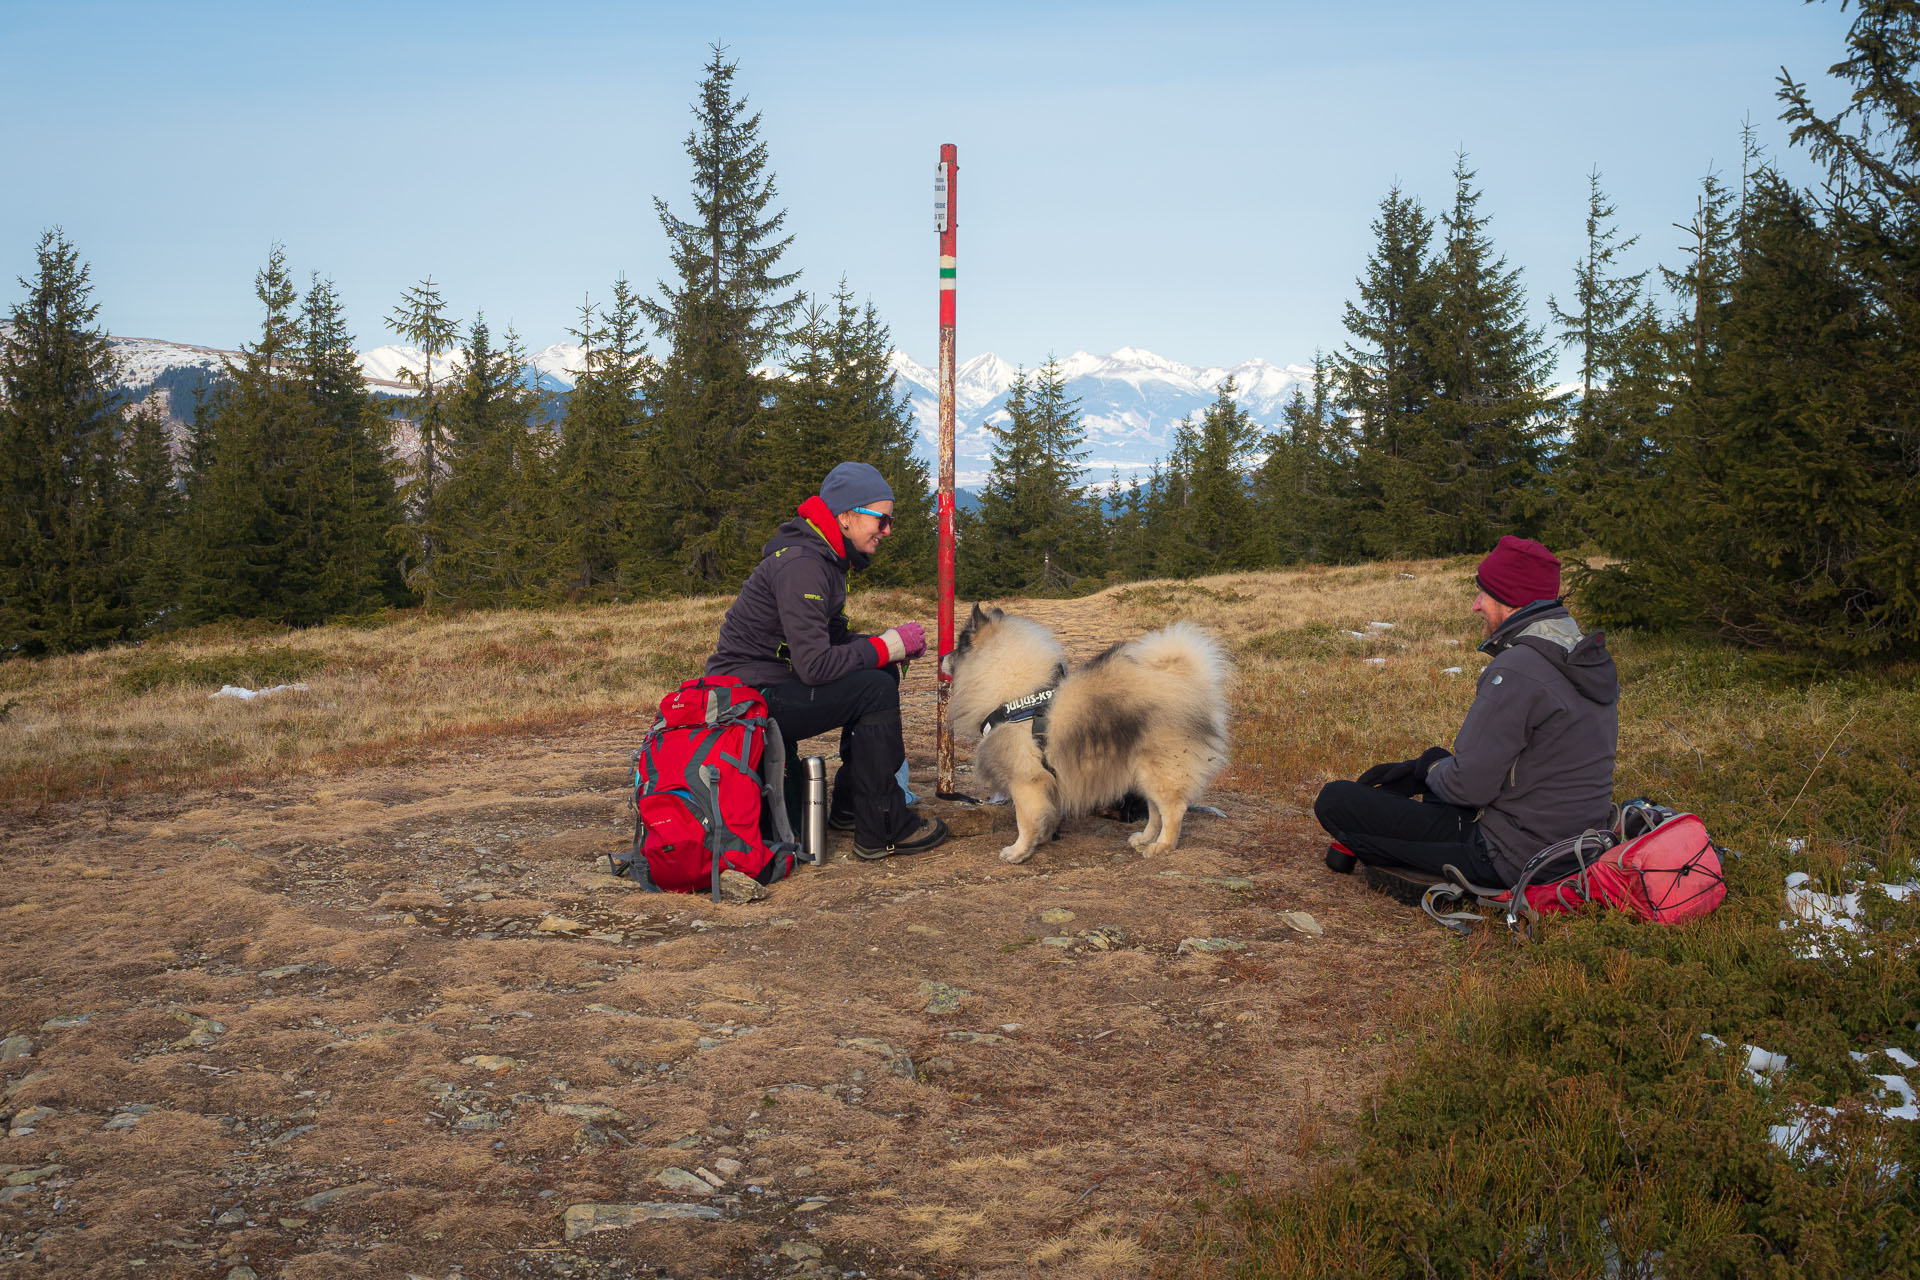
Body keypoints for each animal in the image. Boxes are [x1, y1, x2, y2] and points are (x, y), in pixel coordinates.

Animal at [940, 606, 1228, 867]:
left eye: (959, 647)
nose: (941, 656)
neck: (1015, 694)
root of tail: (1185, 681)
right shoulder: (1045, 783)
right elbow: (1045, 816)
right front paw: (1043, 839)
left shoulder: (1026, 781)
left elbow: (1025, 821)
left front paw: (1018, 851)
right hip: (1145, 774)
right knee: (1155, 810)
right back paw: (1146, 838)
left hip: (1160, 770)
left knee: (1172, 810)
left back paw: (1162, 846)